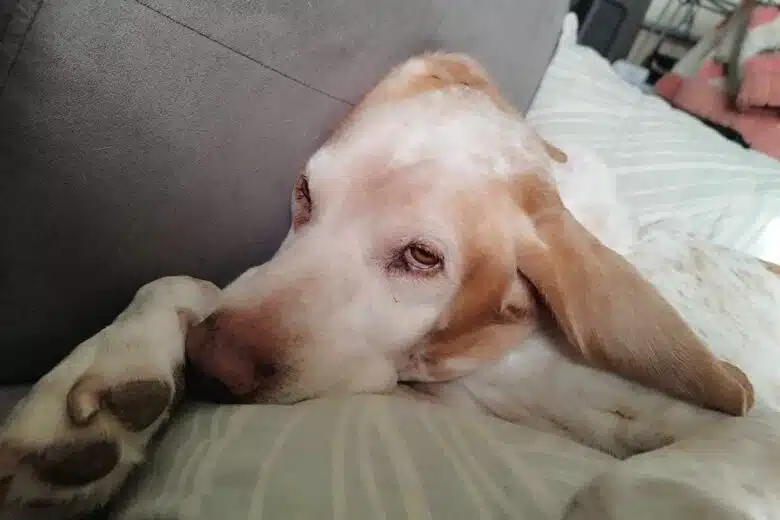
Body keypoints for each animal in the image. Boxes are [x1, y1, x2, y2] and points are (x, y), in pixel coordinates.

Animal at [1, 52, 780, 512]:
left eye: (423, 259)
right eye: (305, 193)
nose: (212, 367)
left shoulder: (745, 445)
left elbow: (623, 485)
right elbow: (185, 286)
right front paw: (100, 390)